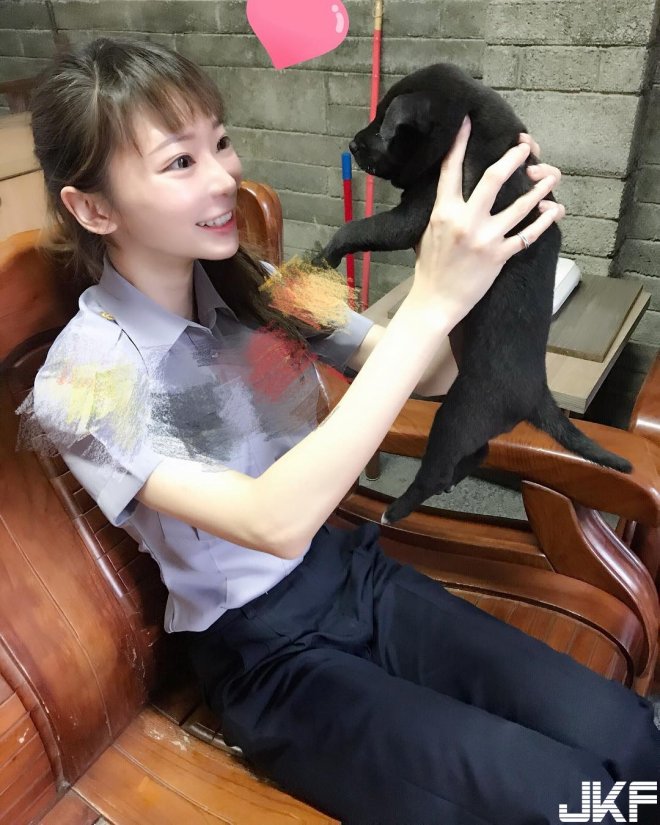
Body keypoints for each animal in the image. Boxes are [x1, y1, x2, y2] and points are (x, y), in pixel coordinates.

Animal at [314, 63, 632, 525]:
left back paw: (396, 510)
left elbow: (359, 228)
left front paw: (324, 257)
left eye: (386, 124)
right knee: (474, 457)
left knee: (438, 469)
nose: (353, 144)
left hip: (458, 414)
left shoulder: (419, 212)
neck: (473, 127)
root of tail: (539, 395)